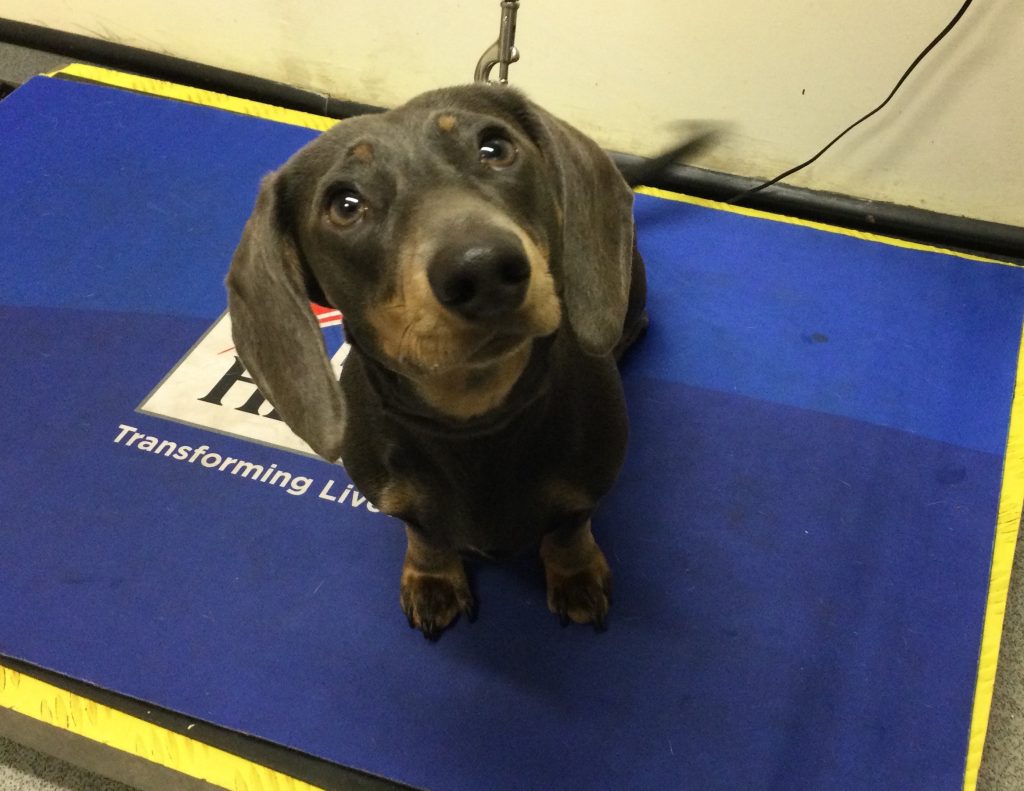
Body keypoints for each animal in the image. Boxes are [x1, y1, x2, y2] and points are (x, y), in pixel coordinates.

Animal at [228, 83, 651, 639]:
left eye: (494, 147)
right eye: (345, 204)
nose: (484, 269)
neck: (474, 418)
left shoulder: (586, 491)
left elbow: (569, 529)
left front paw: (575, 574)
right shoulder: (401, 503)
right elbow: (425, 535)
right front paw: (433, 579)